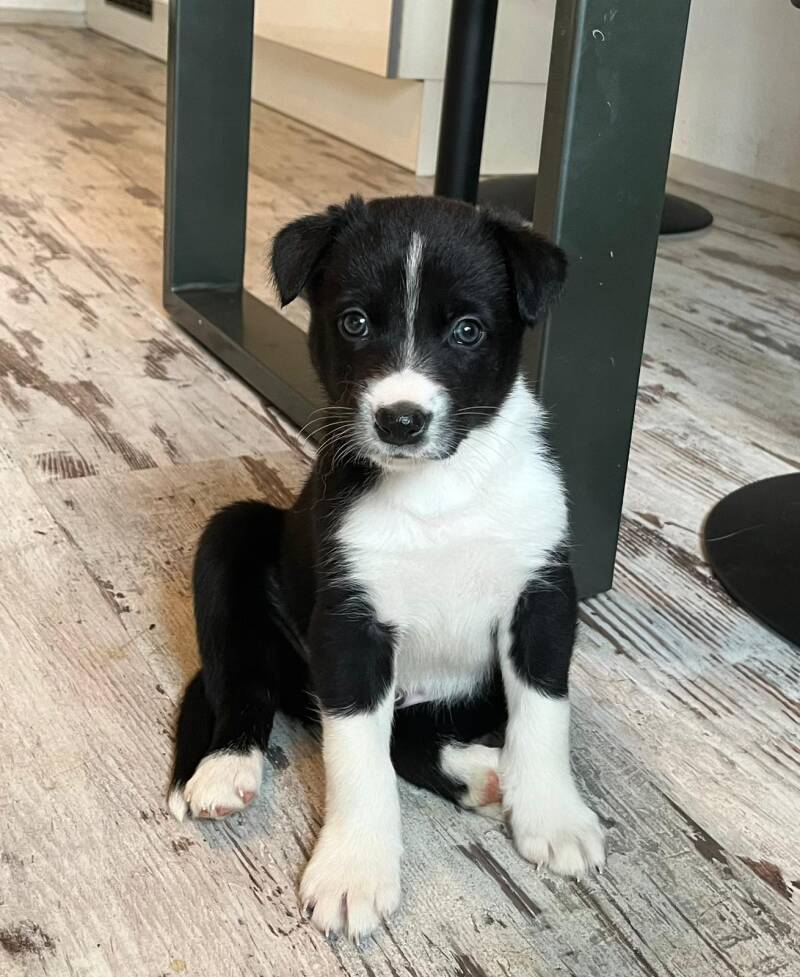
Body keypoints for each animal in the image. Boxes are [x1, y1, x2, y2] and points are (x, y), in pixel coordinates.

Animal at [168, 194, 605, 940]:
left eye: (467, 330)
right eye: (355, 322)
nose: (401, 420)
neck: (440, 490)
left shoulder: (543, 594)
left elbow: (544, 711)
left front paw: (552, 813)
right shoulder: (350, 623)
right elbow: (357, 756)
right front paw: (354, 870)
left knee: (415, 732)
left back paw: (487, 773)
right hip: (233, 540)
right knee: (248, 681)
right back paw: (226, 767)